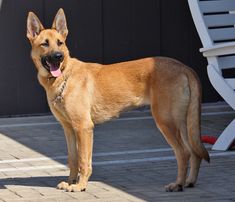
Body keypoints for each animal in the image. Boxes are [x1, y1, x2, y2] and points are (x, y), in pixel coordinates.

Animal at [27, 9, 209, 193]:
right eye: (45, 44)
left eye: (60, 43)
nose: (59, 56)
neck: (64, 77)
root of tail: (184, 67)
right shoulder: (69, 129)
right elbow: (73, 159)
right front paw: (71, 182)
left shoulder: (84, 127)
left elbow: (83, 161)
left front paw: (80, 185)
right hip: (182, 124)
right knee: (194, 152)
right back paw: (189, 181)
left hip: (166, 122)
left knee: (183, 153)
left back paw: (178, 184)